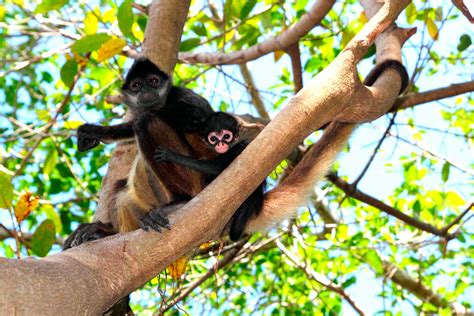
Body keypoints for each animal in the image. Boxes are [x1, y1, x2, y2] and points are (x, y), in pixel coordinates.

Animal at [155, 111, 266, 239]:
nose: (221, 144)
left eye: (226, 136)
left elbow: (217, 167)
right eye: (213, 139)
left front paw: (171, 156)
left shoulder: (248, 135)